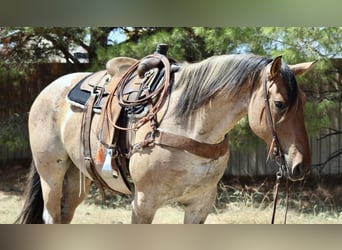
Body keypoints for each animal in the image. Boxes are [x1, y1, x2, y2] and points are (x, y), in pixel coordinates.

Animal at [15, 47, 316, 224]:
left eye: (303, 102)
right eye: (279, 104)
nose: (301, 165)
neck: (189, 124)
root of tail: (48, 89)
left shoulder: (200, 205)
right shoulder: (143, 204)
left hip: (76, 178)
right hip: (51, 176)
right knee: (51, 216)